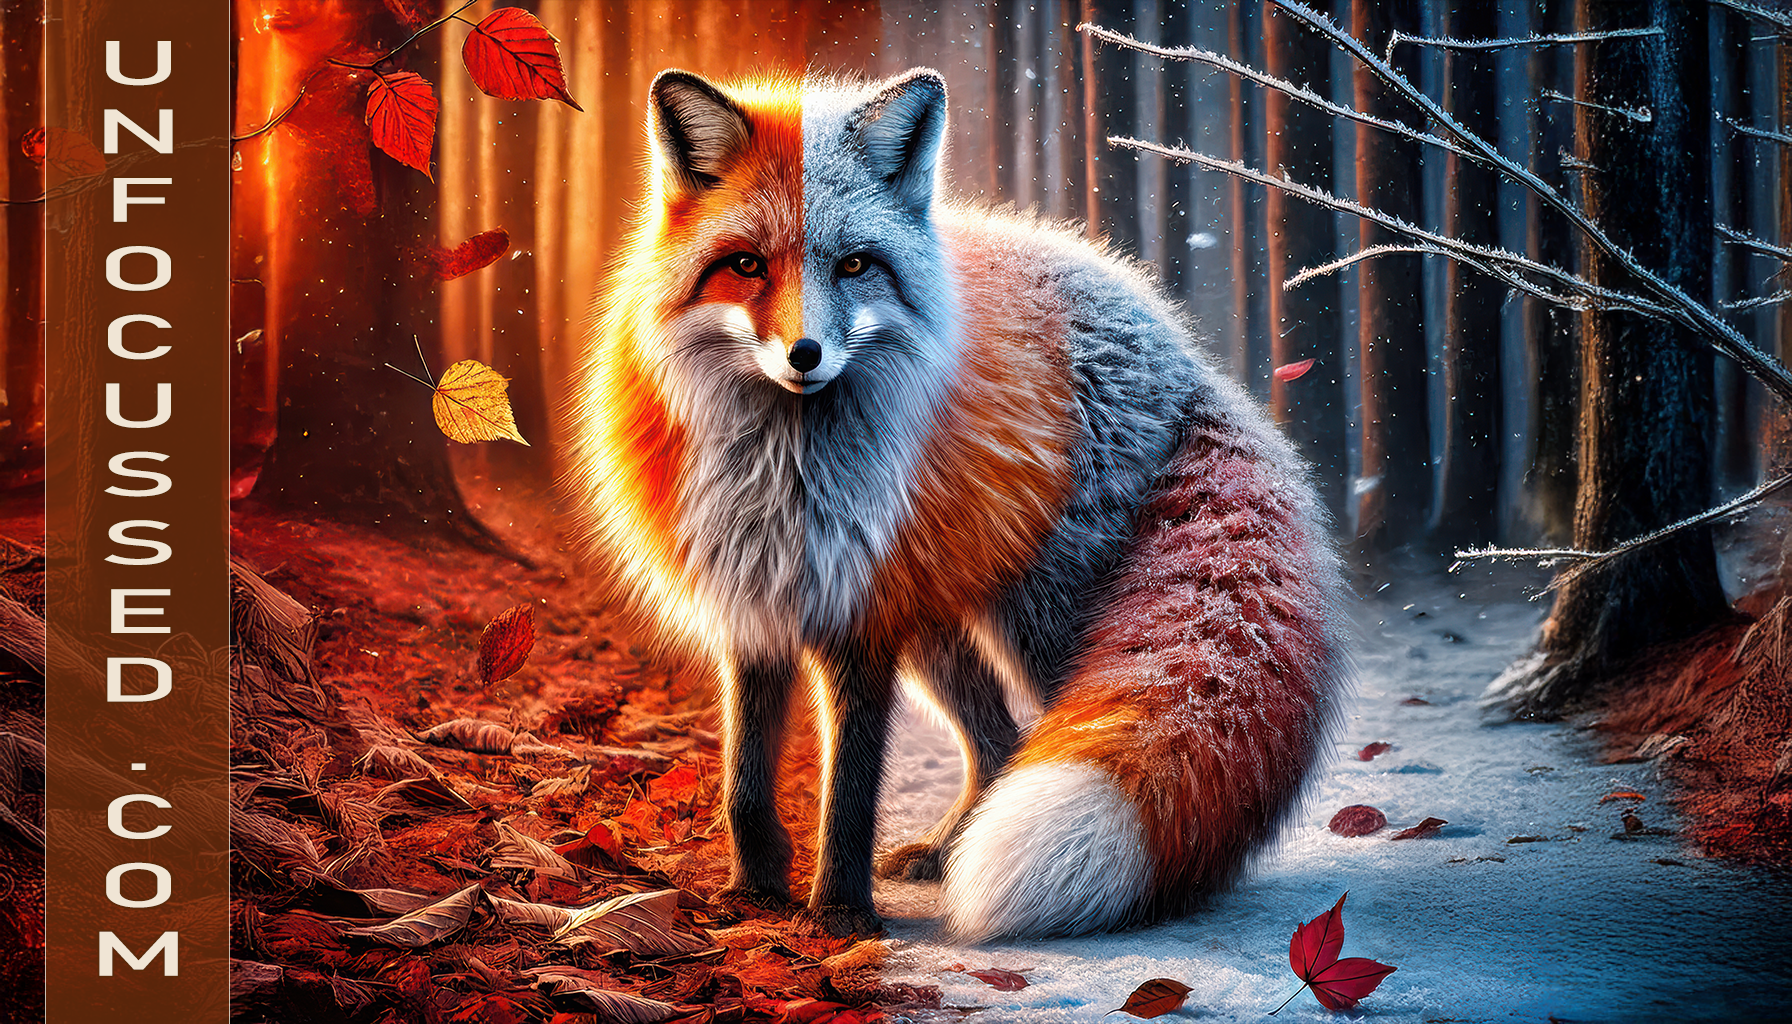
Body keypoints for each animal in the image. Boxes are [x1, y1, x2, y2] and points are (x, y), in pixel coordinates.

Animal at [566, 67, 1348, 941]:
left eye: (855, 266)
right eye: (745, 265)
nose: (805, 354)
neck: (784, 468)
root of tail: (1187, 355)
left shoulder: (864, 621)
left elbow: (851, 789)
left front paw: (839, 915)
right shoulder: (757, 606)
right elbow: (743, 778)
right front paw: (753, 892)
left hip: (1046, 624)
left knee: (1047, 730)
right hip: (942, 626)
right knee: (1001, 743)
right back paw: (951, 853)